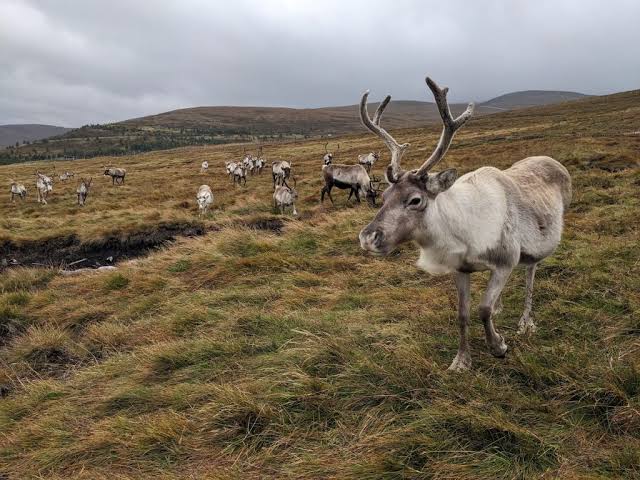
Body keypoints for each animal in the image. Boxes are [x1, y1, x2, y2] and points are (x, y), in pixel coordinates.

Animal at [358, 77, 572, 372]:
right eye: (384, 196)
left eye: (415, 199)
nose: (368, 238)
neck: (464, 232)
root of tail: (554, 161)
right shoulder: (460, 269)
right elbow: (463, 314)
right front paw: (461, 361)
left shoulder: (506, 259)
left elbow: (483, 309)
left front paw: (498, 345)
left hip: (538, 245)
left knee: (530, 273)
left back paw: (526, 322)